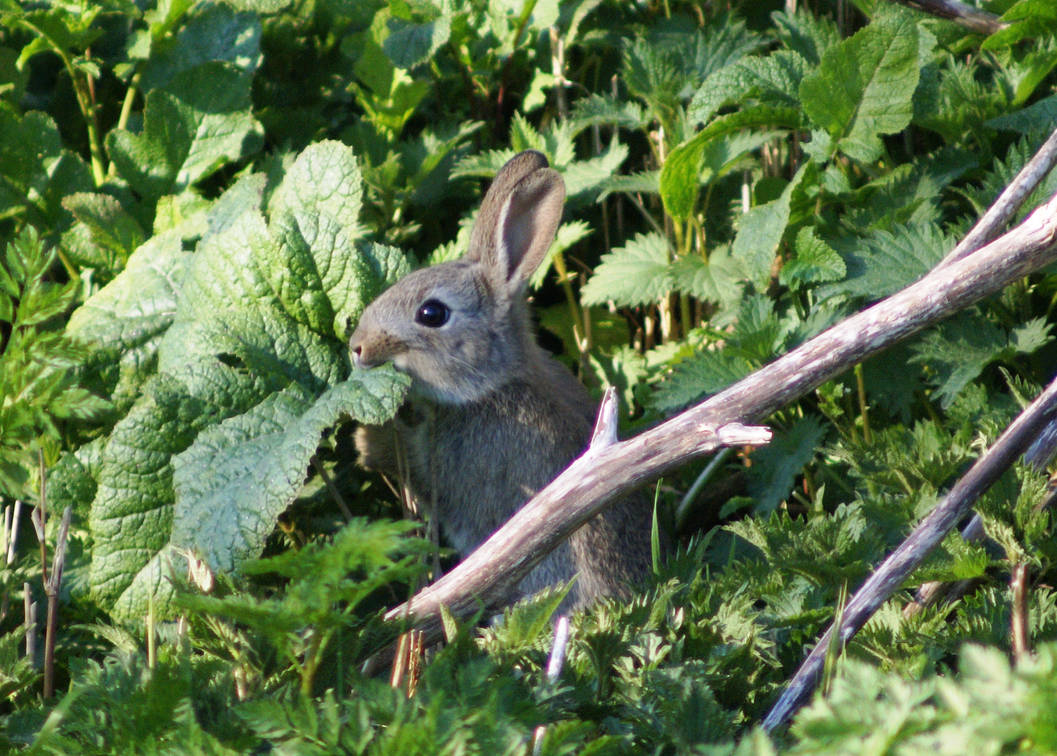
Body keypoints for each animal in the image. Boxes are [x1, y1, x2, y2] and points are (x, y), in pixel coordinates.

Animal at [349, 149, 652, 610]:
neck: (494, 386)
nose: (357, 347)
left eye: (432, 313)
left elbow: (423, 479)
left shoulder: (457, 469)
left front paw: (367, 441)